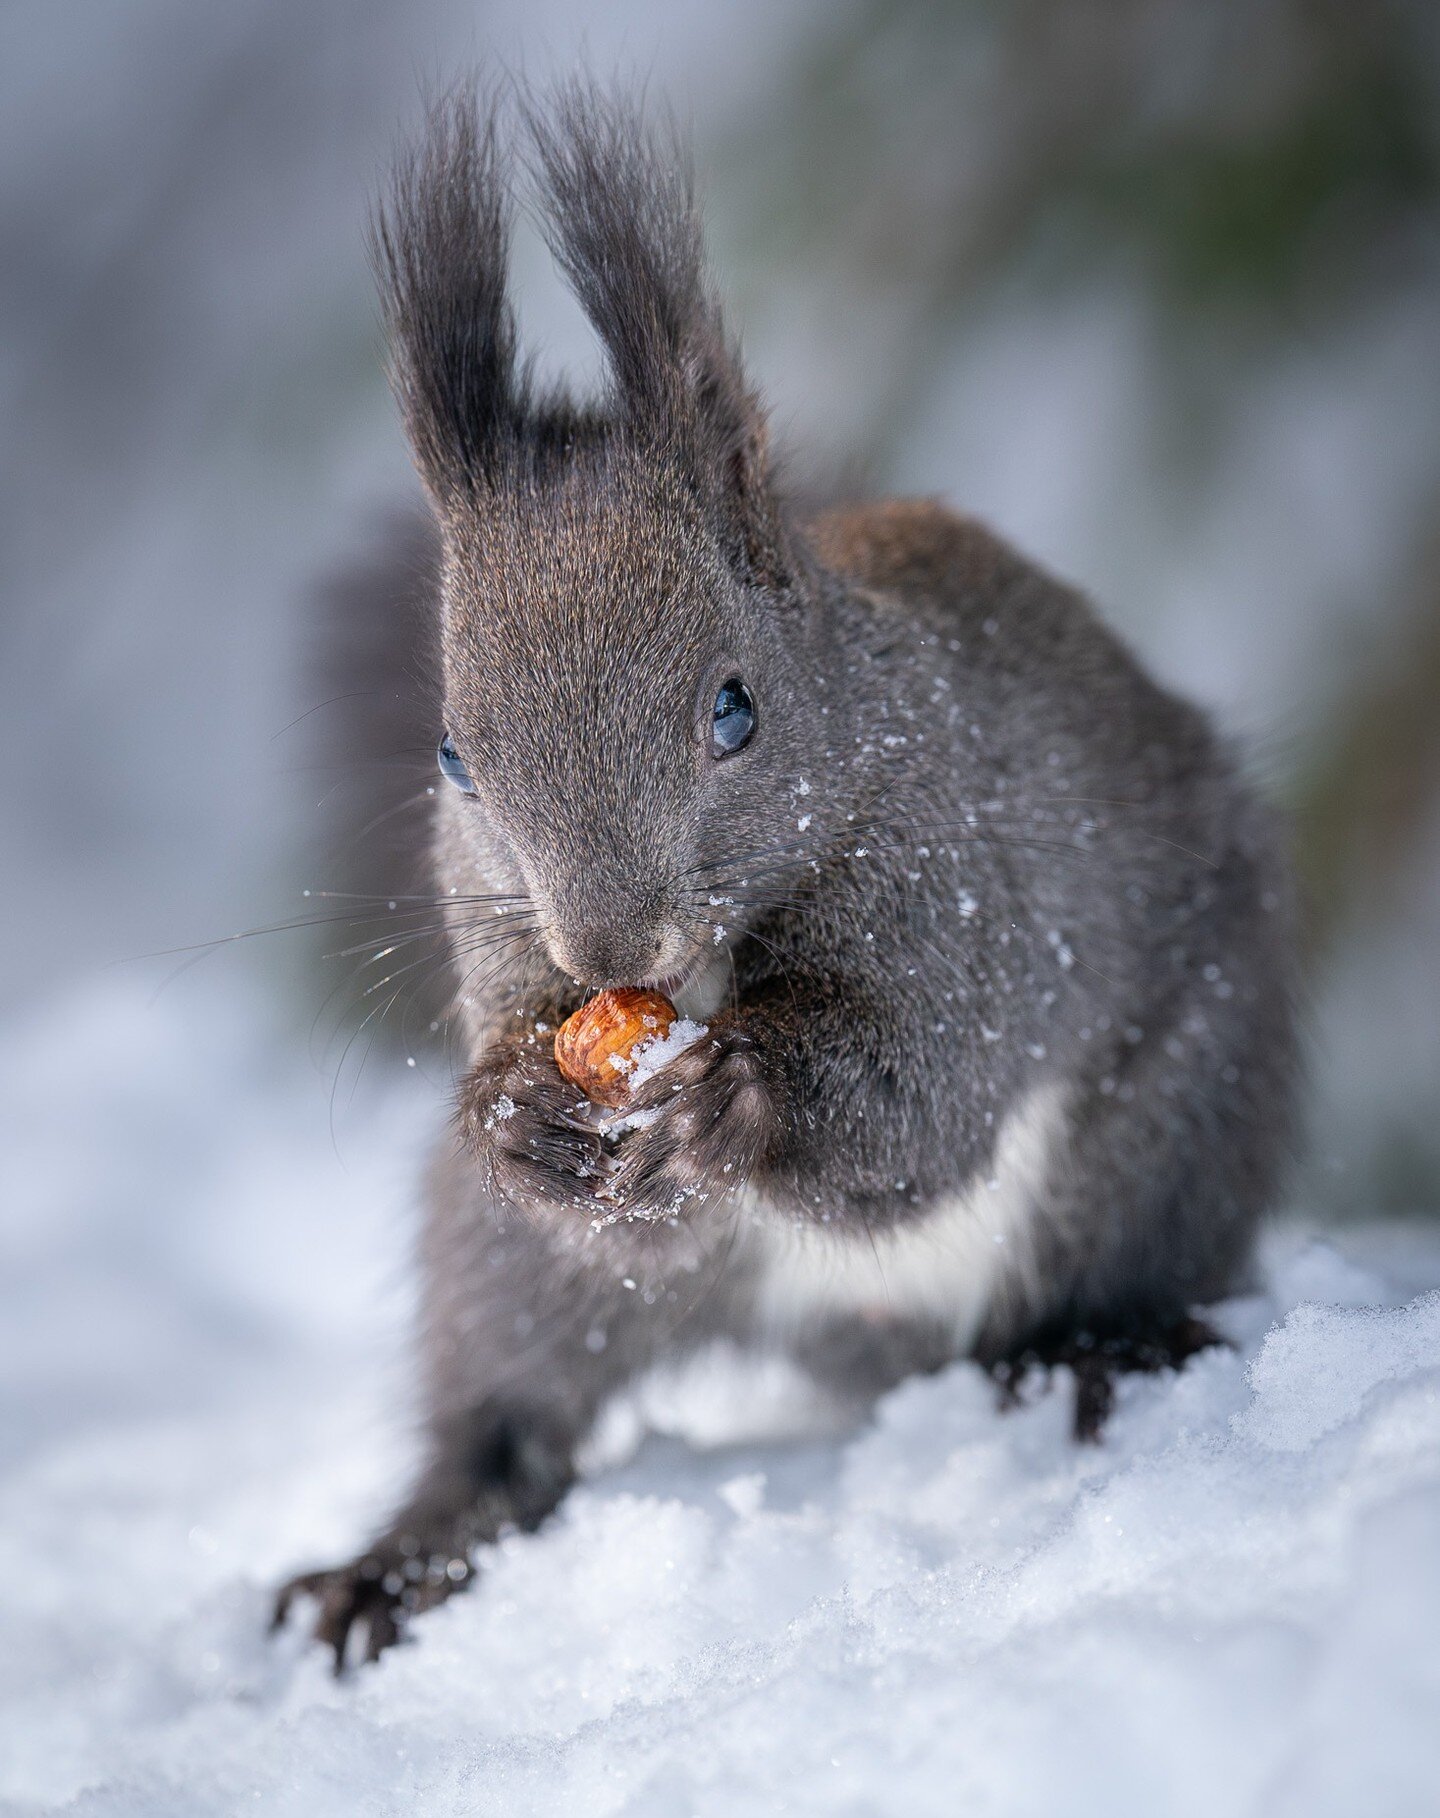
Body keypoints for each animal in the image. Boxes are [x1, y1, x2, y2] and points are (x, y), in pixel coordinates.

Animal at [272, 88, 1301, 1672]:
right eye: (452, 756)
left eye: (734, 711)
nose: (606, 944)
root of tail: (878, 1345)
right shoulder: (499, 954)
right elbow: (532, 1099)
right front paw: (513, 1107)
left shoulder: (963, 892)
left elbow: (924, 1086)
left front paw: (743, 1098)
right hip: (517, 1274)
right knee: (508, 1411)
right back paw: (402, 1560)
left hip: (1172, 1127)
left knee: (1125, 1255)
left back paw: (1099, 1347)